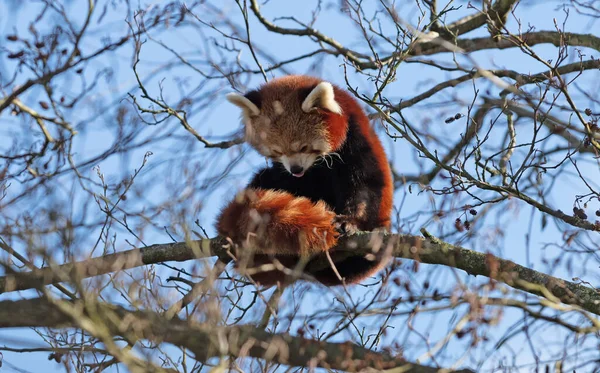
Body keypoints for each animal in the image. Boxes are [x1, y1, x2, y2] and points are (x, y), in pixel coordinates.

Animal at [216, 75, 394, 284]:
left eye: (303, 147)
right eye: (277, 151)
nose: (296, 169)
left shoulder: (356, 142)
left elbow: (364, 186)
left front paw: (349, 221)